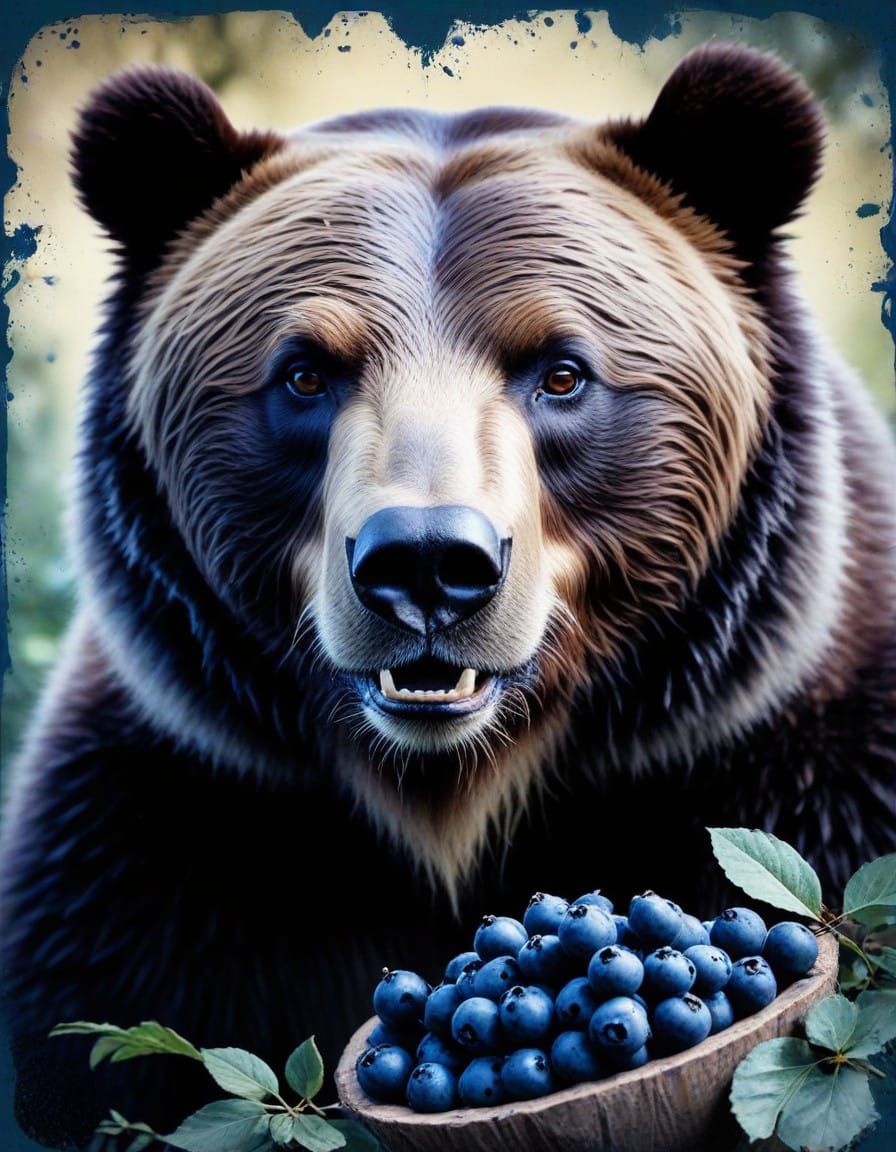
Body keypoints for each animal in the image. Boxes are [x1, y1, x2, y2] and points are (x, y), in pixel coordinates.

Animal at [1, 41, 894, 1147]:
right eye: (304, 373)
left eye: (562, 371)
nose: (427, 562)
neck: (454, 802)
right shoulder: (163, 847)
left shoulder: (804, 763)